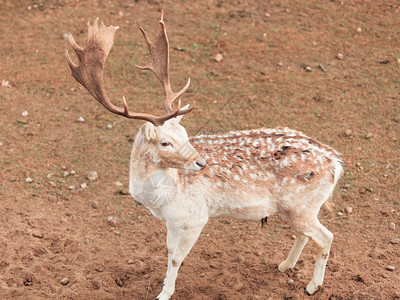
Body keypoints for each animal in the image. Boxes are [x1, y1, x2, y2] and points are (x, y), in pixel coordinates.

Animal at [65, 12, 344, 300]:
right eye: (166, 142)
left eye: (185, 133)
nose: (201, 162)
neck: (163, 199)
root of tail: (336, 162)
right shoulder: (172, 222)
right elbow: (167, 252)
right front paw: (163, 283)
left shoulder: (195, 219)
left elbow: (177, 258)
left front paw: (164, 294)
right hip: (297, 209)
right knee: (306, 234)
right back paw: (284, 265)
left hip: (299, 206)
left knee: (327, 236)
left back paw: (312, 285)